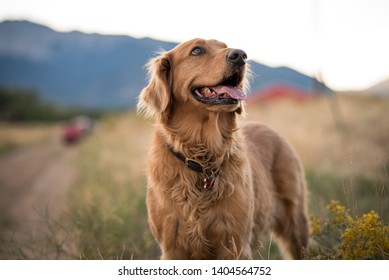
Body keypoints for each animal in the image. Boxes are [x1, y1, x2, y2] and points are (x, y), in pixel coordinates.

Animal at [138, 38, 308, 260]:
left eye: (224, 46)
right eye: (197, 50)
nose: (241, 55)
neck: (202, 158)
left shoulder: (235, 243)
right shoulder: (172, 245)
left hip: (296, 224)